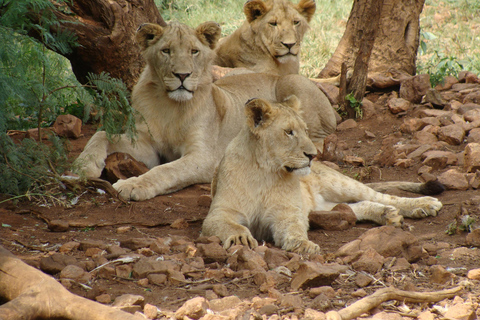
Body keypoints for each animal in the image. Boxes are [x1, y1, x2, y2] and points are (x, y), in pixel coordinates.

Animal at [74, 20, 338, 200]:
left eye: (194, 51)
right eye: (166, 50)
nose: (182, 75)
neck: (170, 106)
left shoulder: (204, 157)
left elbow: (166, 170)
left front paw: (132, 185)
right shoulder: (145, 146)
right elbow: (101, 135)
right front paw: (82, 167)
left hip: (291, 84)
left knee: (321, 139)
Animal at [202, 97, 442, 255]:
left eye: (306, 131)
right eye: (289, 132)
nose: (312, 155)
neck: (265, 171)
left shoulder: (287, 213)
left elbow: (294, 228)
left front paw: (303, 245)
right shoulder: (219, 213)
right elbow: (232, 225)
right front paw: (241, 238)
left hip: (340, 183)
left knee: (382, 196)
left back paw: (423, 204)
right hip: (320, 207)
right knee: (355, 207)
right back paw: (387, 215)